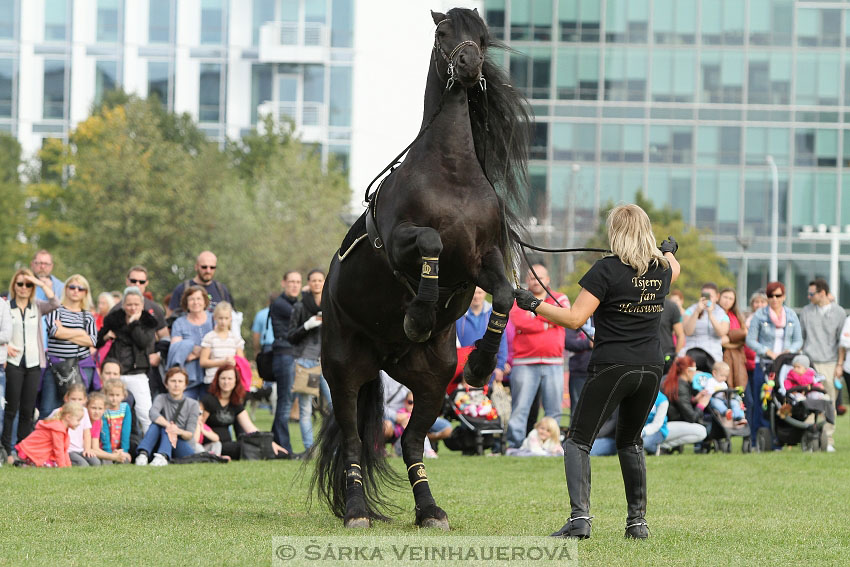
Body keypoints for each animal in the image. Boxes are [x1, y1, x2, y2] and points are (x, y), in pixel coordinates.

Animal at [308, 8, 528, 532]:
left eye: (482, 38)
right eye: (443, 33)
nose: (468, 66)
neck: (450, 173)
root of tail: (382, 358)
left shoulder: (480, 260)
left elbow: (505, 293)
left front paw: (481, 362)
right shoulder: (403, 241)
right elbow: (429, 244)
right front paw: (419, 315)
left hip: (431, 380)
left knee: (409, 442)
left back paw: (430, 510)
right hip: (343, 371)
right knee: (353, 443)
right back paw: (356, 511)